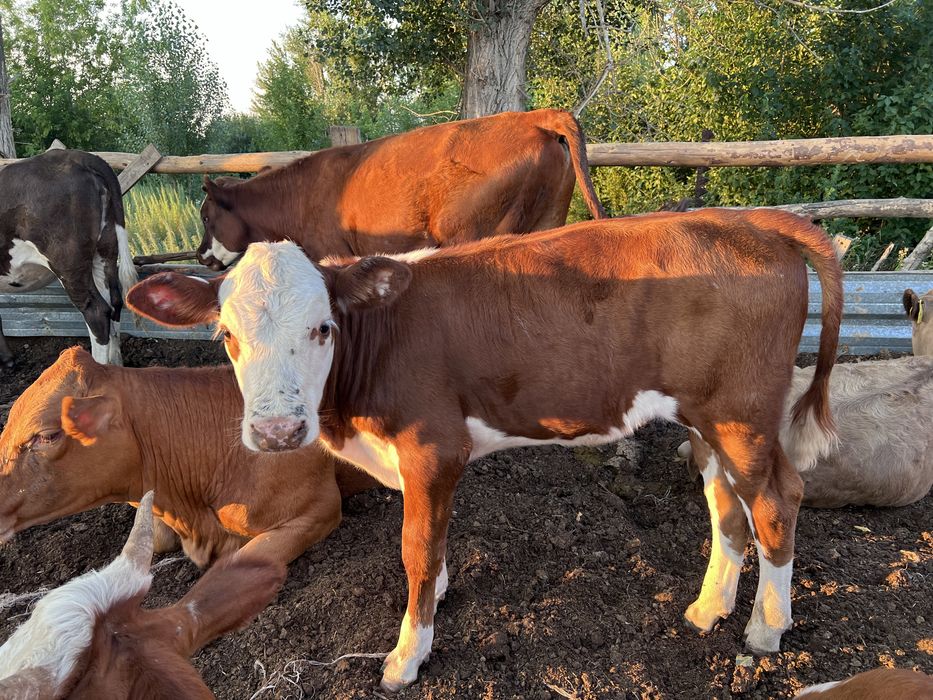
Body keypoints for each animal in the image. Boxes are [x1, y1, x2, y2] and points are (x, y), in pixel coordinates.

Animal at [127, 209, 844, 690]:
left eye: (322, 327)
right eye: (225, 334)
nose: (277, 432)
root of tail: (748, 219)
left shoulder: (431, 445)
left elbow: (416, 546)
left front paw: (407, 654)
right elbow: (435, 541)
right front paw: (438, 597)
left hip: (741, 414)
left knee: (775, 500)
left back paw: (765, 628)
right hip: (706, 419)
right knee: (725, 502)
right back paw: (708, 607)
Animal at [196, 109, 605, 270]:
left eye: (205, 216)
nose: (200, 256)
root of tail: (533, 116)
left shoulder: (329, 253)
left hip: (476, 233)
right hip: (548, 220)